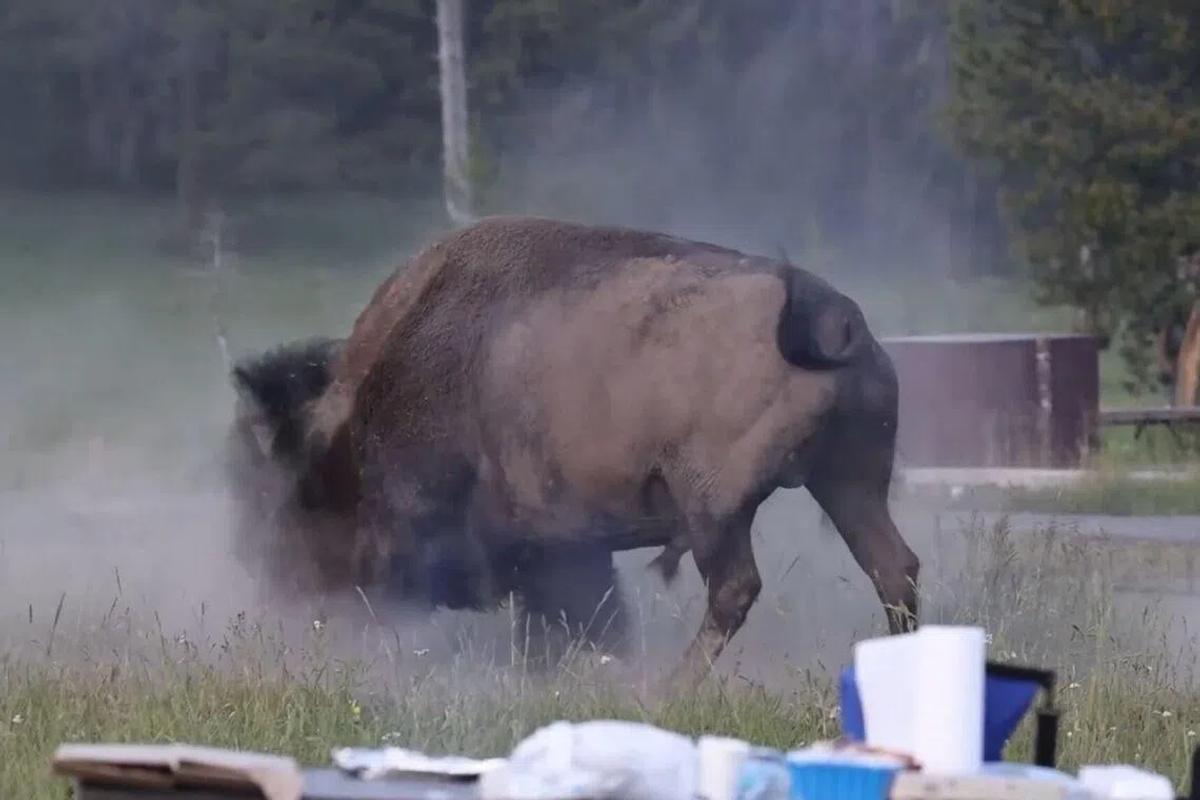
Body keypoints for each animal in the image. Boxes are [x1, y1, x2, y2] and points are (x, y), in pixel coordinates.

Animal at [227, 216, 919, 684]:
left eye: (297, 494)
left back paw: (666, 690)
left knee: (735, 589)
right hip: (849, 482)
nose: (284, 587)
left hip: (716, 509)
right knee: (894, 567)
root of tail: (824, 311)